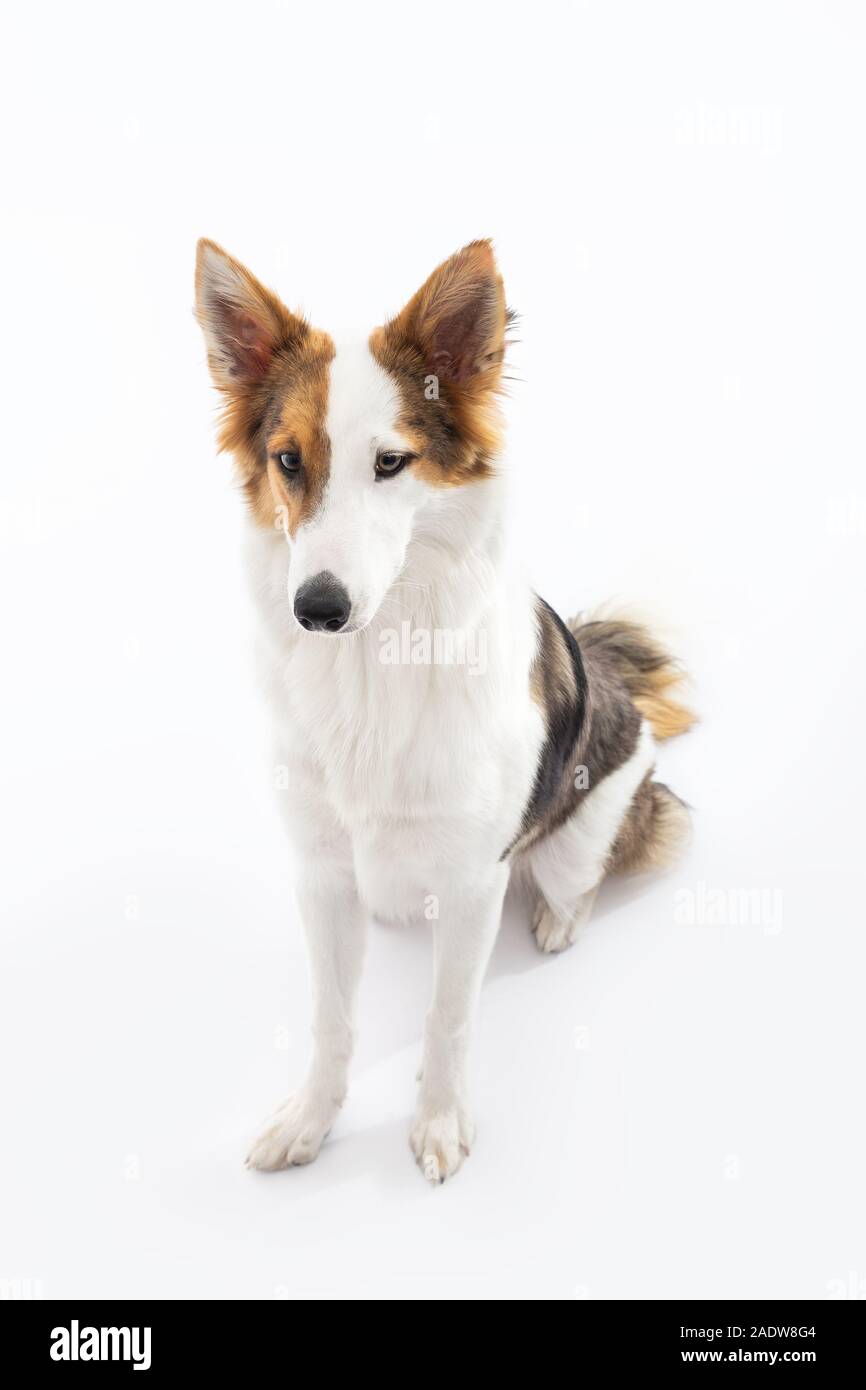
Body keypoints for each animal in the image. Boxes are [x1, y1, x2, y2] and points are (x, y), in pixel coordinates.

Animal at [193, 239, 695, 1184]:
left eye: (391, 463)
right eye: (288, 460)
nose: (316, 608)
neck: (373, 667)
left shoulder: (472, 881)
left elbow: (447, 1016)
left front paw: (438, 1117)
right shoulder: (321, 873)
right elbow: (332, 1018)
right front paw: (312, 1119)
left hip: (584, 828)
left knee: (582, 872)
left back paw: (558, 916)